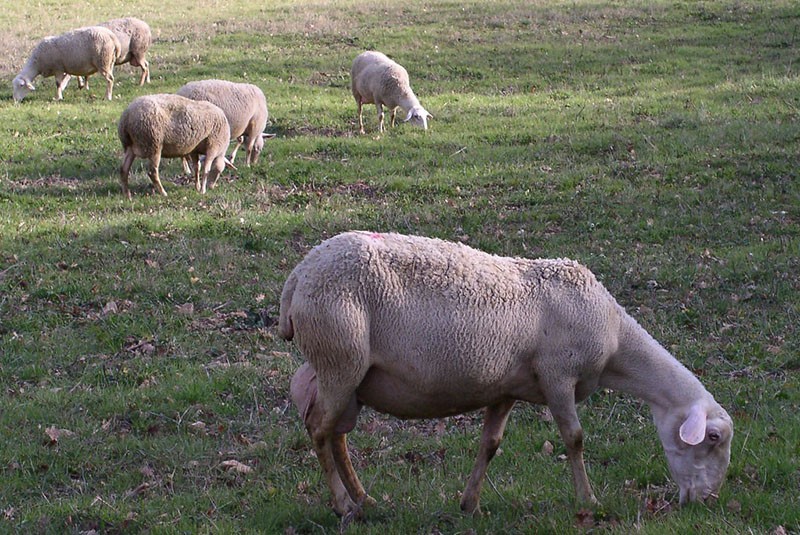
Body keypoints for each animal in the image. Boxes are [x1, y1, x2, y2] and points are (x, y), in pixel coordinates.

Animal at [280, 231, 732, 520]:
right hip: (340, 357)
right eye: (712, 438)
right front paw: (588, 501)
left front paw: (470, 505)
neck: (616, 340)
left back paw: (365, 501)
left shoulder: (506, 389)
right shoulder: (557, 376)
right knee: (319, 430)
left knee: (337, 435)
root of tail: (298, 275)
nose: (707, 500)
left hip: (348, 372)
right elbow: (575, 438)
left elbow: (490, 445)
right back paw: (343, 506)